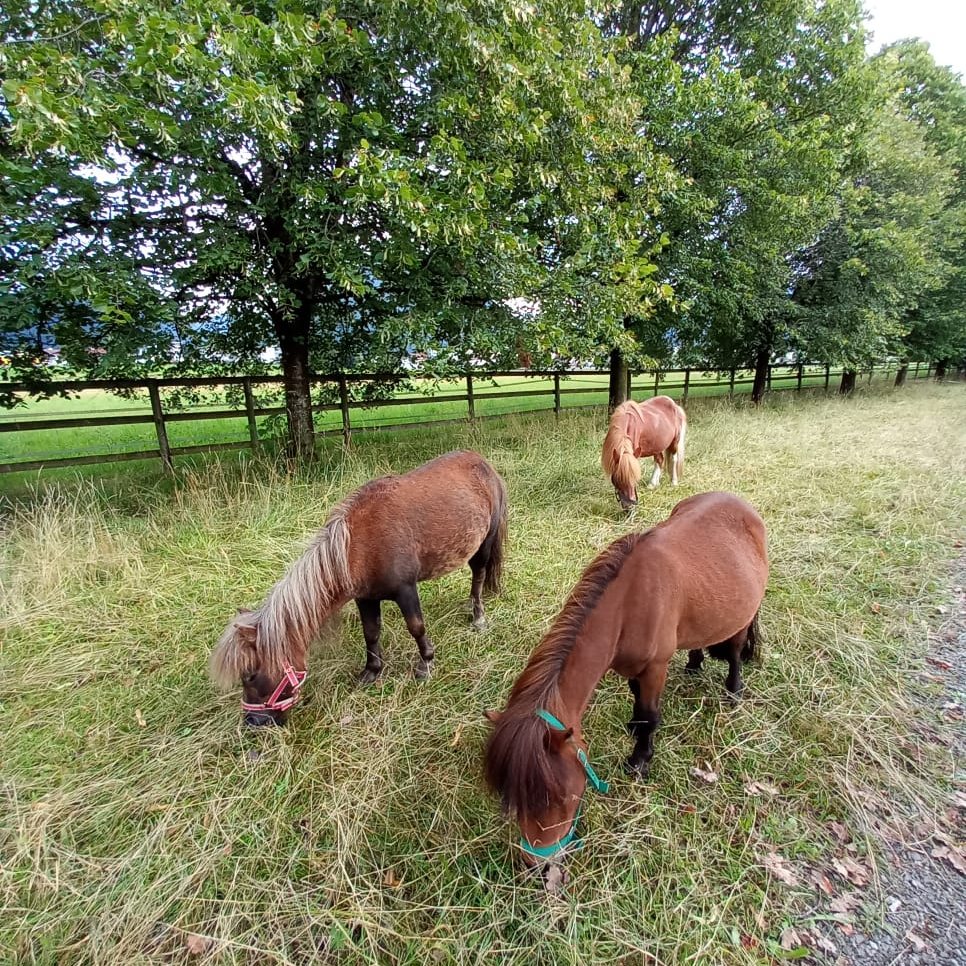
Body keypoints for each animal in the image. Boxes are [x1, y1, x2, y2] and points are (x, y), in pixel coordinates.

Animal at [213, 450, 510, 728]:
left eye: (250, 675)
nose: (254, 722)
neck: (356, 549)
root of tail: (482, 463)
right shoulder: (365, 598)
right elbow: (371, 633)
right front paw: (371, 671)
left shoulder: (406, 590)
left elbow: (416, 627)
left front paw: (425, 664)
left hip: (484, 544)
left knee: (478, 576)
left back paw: (478, 617)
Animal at [484, 492, 772, 876]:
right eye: (513, 798)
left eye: (562, 798)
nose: (535, 864)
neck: (629, 604)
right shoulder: (630, 667)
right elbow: (637, 704)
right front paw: (633, 731)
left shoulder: (655, 668)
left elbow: (650, 715)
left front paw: (639, 761)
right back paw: (694, 664)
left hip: (741, 615)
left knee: (737, 651)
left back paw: (733, 692)